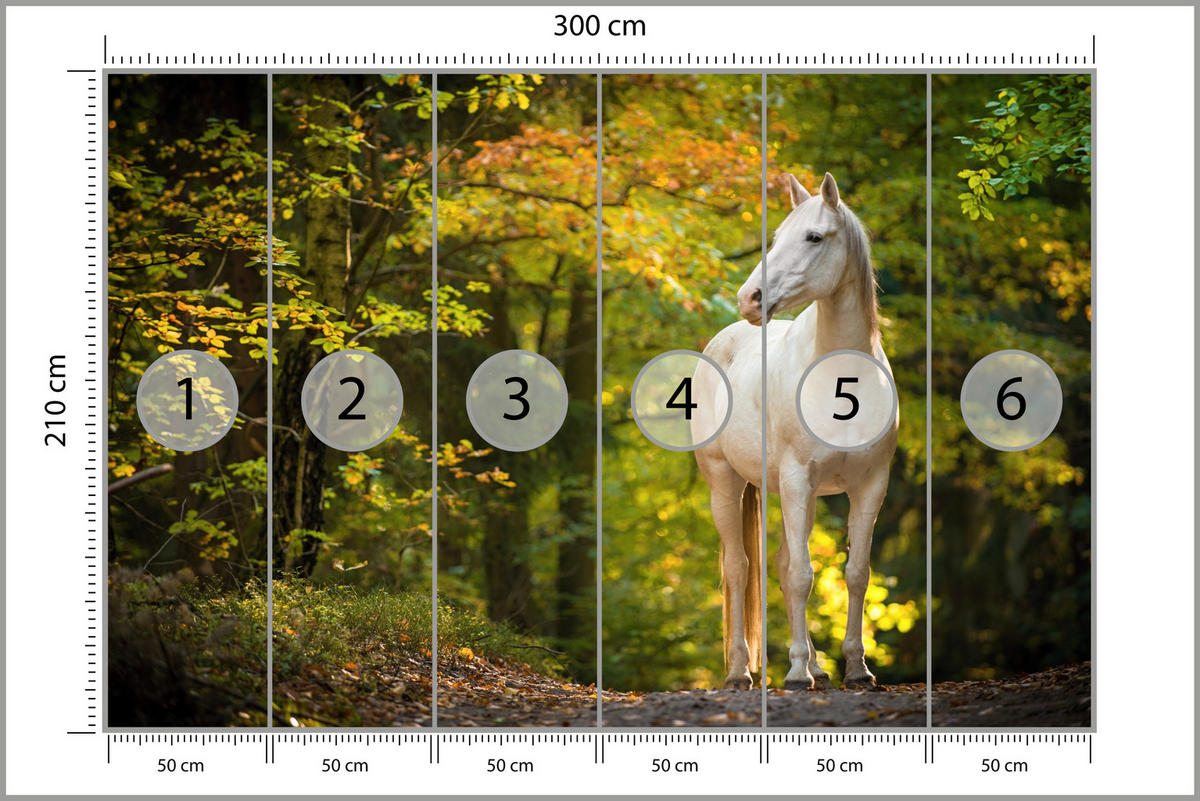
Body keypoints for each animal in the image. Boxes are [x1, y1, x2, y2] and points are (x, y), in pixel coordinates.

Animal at [691, 172, 898, 690]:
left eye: (814, 237)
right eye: (776, 237)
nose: (750, 298)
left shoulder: (870, 486)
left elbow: (855, 573)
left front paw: (856, 668)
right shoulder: (797, 478)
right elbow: (803, 576)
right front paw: (797, 673)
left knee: (783, 565)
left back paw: (816, 666)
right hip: (727, 483)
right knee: (739, 568)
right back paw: (741, 671)